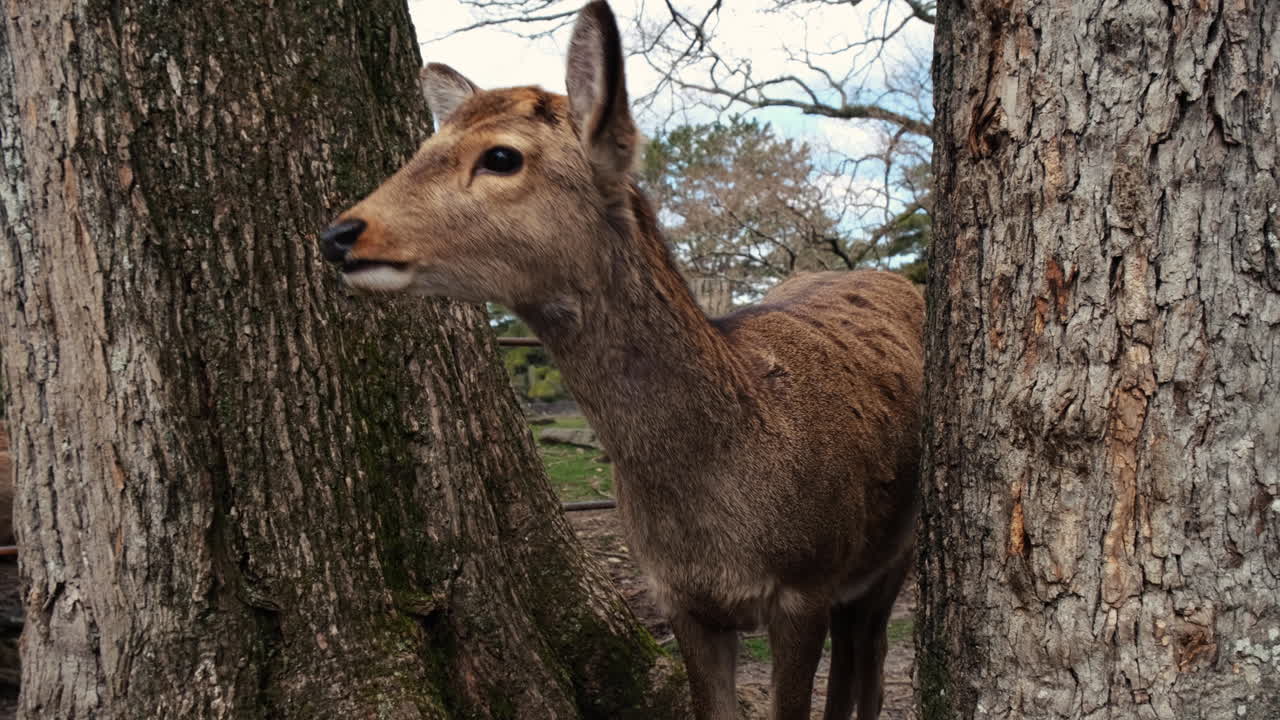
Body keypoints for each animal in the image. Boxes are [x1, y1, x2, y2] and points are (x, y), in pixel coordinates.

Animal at [318, 2, 923, 718]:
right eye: (420, 151)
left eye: (501, 156)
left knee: (871, 658)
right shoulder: (681, 600)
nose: (338, 234)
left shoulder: (805, 583)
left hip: (897, 548)